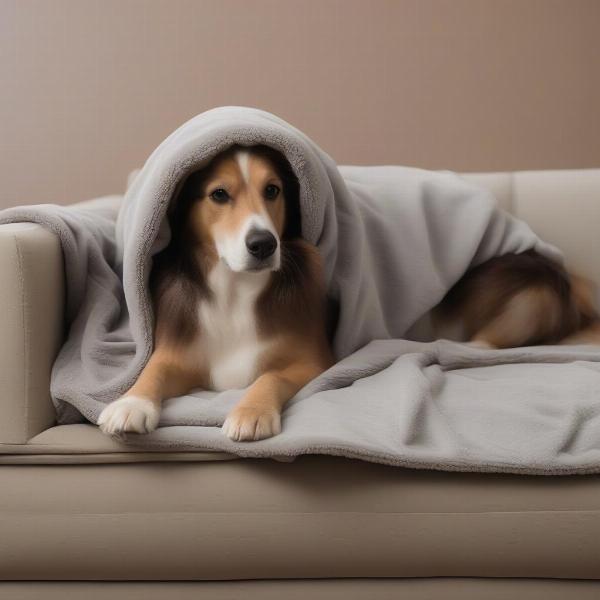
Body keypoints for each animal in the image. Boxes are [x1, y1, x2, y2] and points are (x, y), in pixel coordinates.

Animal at [98, 145, 600, 440]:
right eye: (219, 195)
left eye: (273, 190)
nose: (263, 245)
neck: (236, 290)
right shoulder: (178, 351)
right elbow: (153, 371)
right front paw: (130, 404)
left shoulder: (311, 361)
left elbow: (267, 378)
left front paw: (250, 413)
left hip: (516, 289)